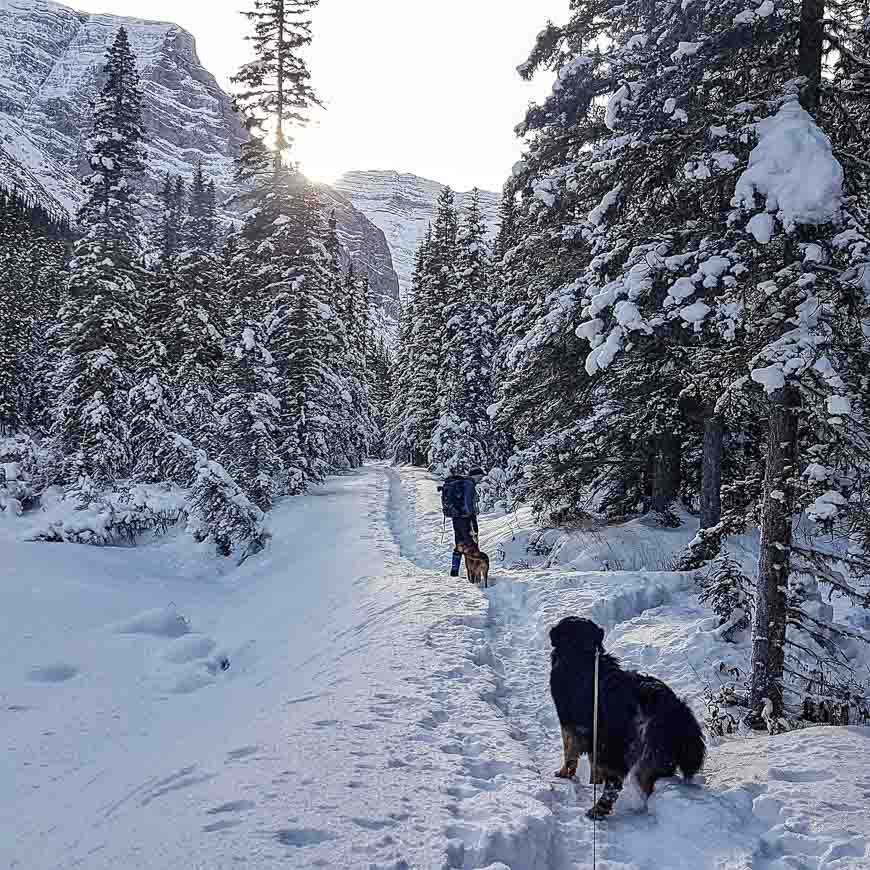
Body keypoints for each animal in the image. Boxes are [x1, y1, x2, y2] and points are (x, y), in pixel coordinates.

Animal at [552, 616, 708, 820]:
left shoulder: (570, 725)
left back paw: (598, 811)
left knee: (615, 784)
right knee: (648, 782)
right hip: (657, 753)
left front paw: (564, 774)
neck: (581, 653)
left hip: (618, 746)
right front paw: (593, 781)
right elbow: (592, 763)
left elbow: (570, 753)